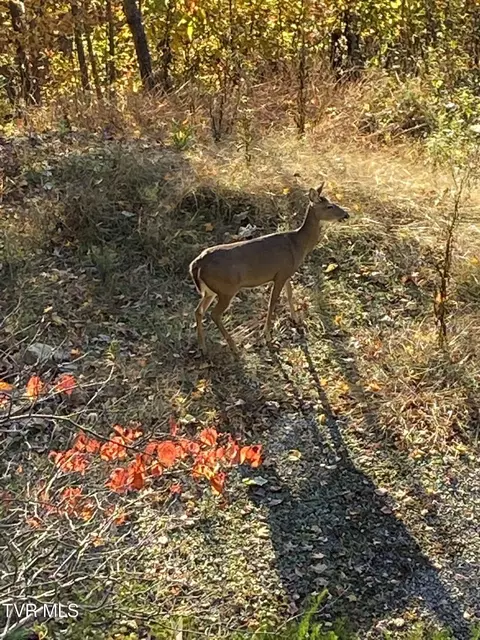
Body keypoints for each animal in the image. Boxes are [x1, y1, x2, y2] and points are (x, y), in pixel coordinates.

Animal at [189, 184, 350, 356]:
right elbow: (272, 303)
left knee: (198, 310)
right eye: (329, 206)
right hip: (227, 288)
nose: (346, 214)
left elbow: (290, 294)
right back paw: (234, 348)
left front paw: (296, 319)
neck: (298, 244)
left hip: (211, 290)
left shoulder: (287, 272)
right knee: (214, 314)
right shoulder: (280, 274)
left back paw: (203, 346)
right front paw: (267, 336)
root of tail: (197, 263)